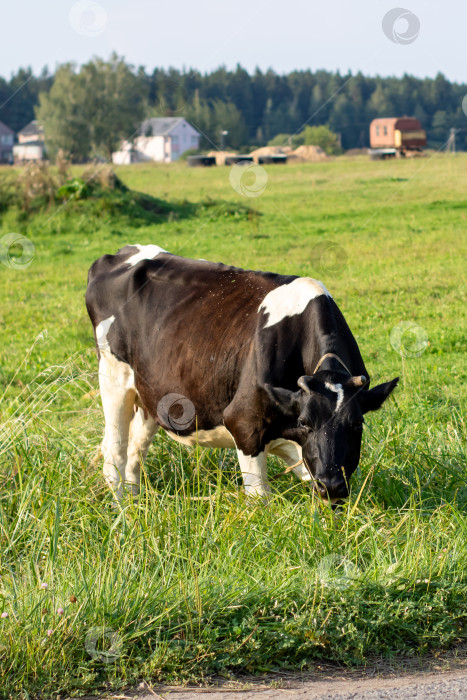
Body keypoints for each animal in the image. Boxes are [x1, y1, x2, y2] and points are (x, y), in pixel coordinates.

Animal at [85, 246, 398, 504]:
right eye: (305, 423)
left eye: (356, 424)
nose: (331, 485)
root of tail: (118, 254)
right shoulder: (244, 424)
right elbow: (261, 502)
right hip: (113, 377)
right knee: (115, 452)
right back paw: (121, 512)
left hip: (149, 395)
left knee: (135, 451)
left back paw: (135, 504)